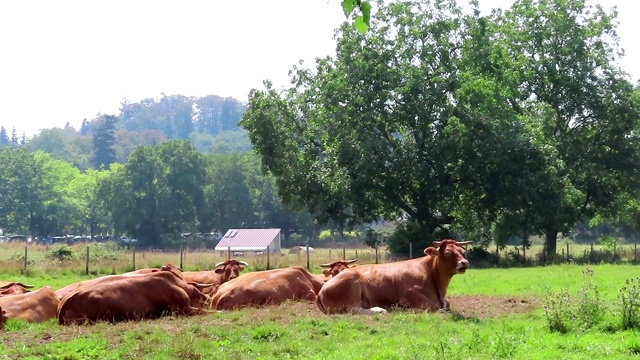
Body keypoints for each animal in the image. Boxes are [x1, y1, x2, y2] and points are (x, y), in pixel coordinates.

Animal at [316, 239, 470, 316]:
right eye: (448, 252)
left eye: (462, 251)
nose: (464, 262)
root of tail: (322, 289)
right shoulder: (408, 294)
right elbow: (434, 307)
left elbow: (446, 304)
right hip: (353, 287)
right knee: (354, 309)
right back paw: (379, 310)